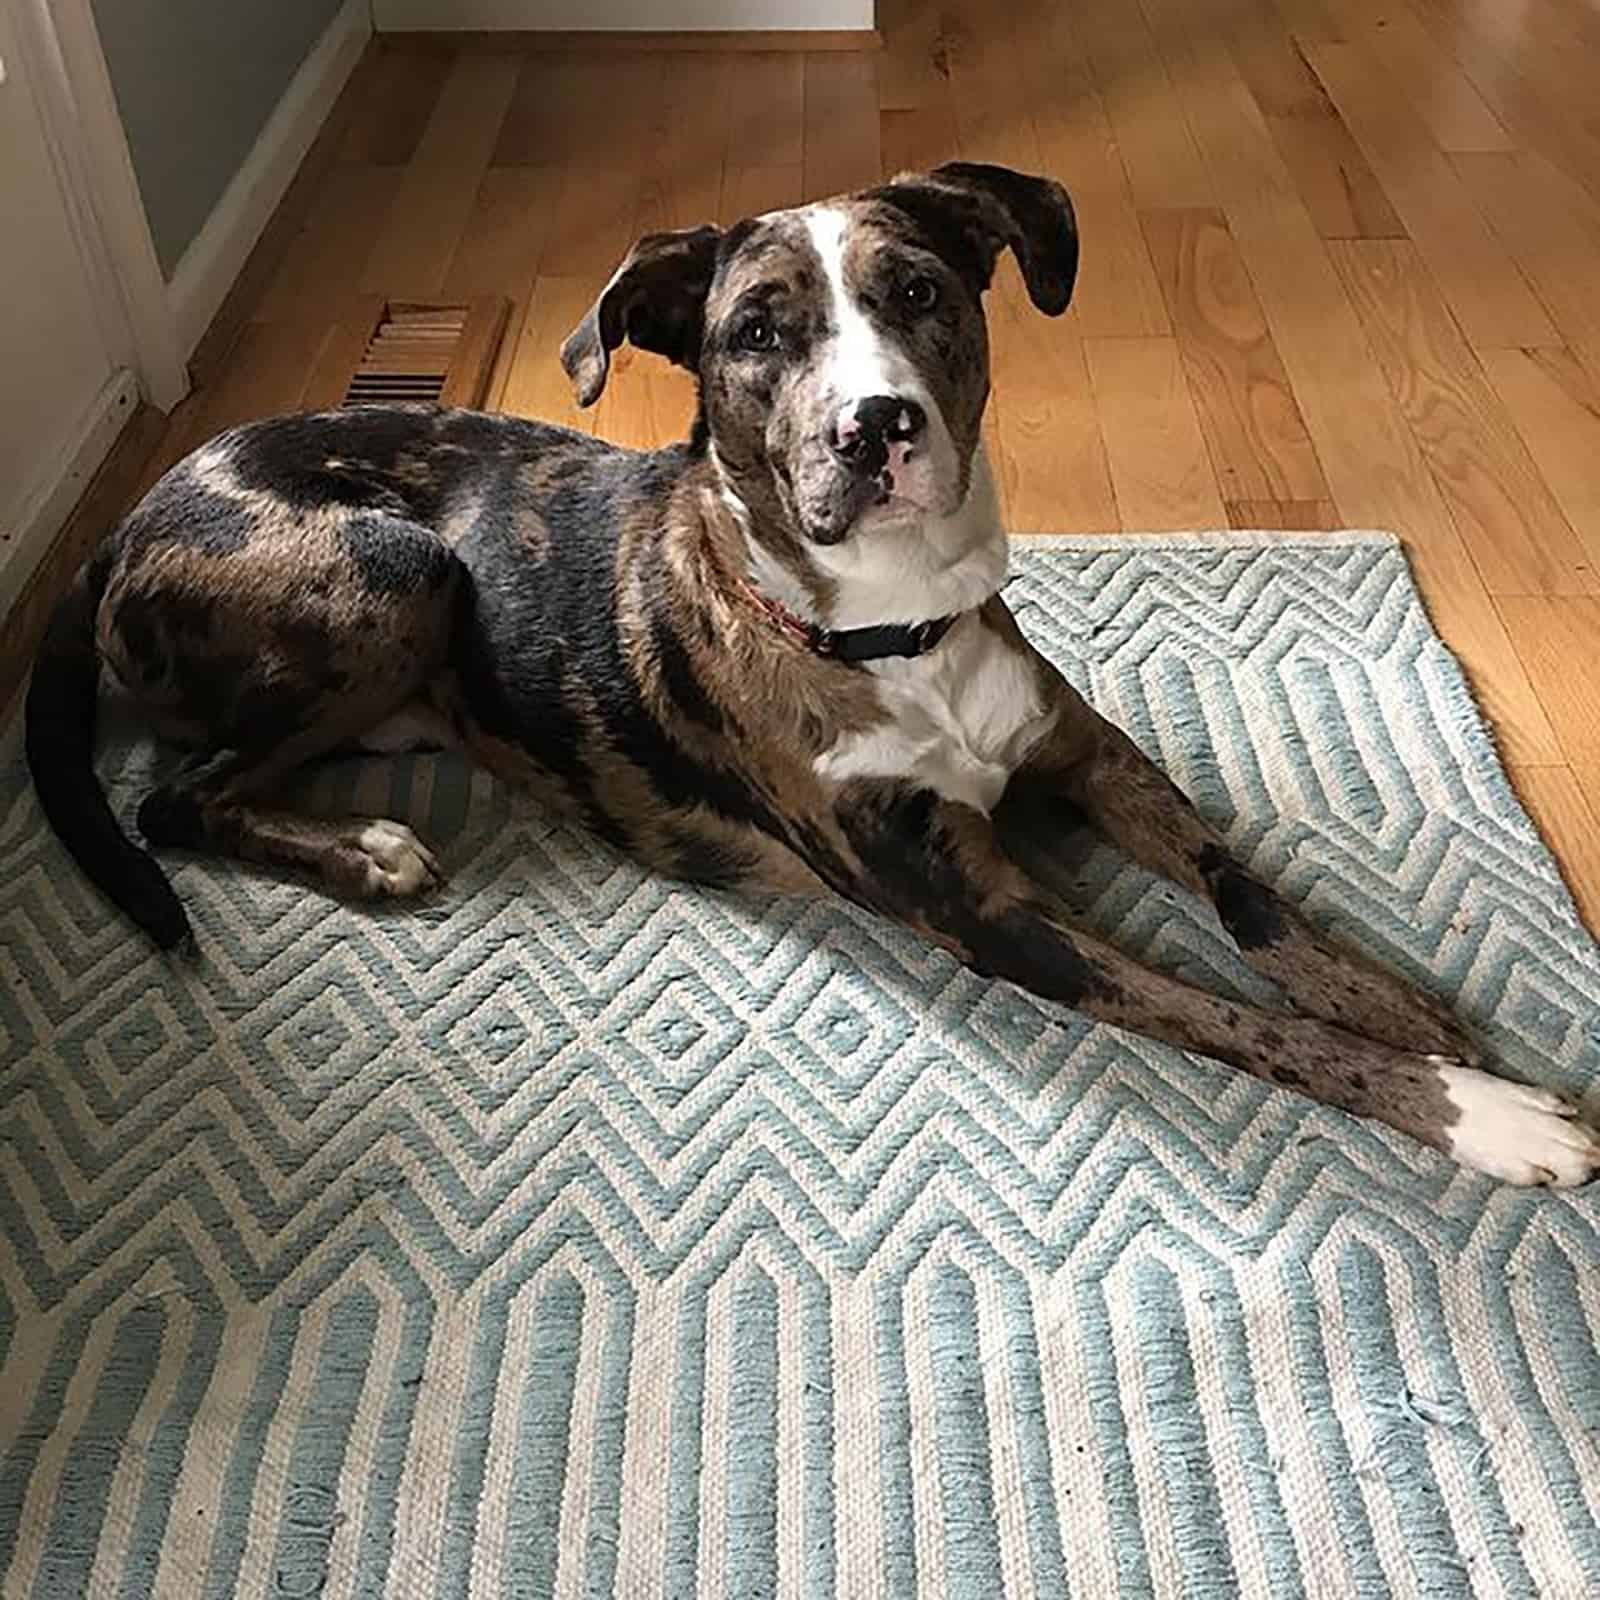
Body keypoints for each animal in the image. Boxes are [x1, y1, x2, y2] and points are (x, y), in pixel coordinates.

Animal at [25, 162, 1600, 1190]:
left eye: (919, 292)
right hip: (402, 571)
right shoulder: (990, 916)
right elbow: (1241, 1022)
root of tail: (116, 524)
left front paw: (1401, 1004)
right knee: (171, 799)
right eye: (755, 335)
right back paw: (368, 851)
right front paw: (1482, 1113)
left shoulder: (1084, 750)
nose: (875, 427)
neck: (893, 632)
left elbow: (1250, 900)